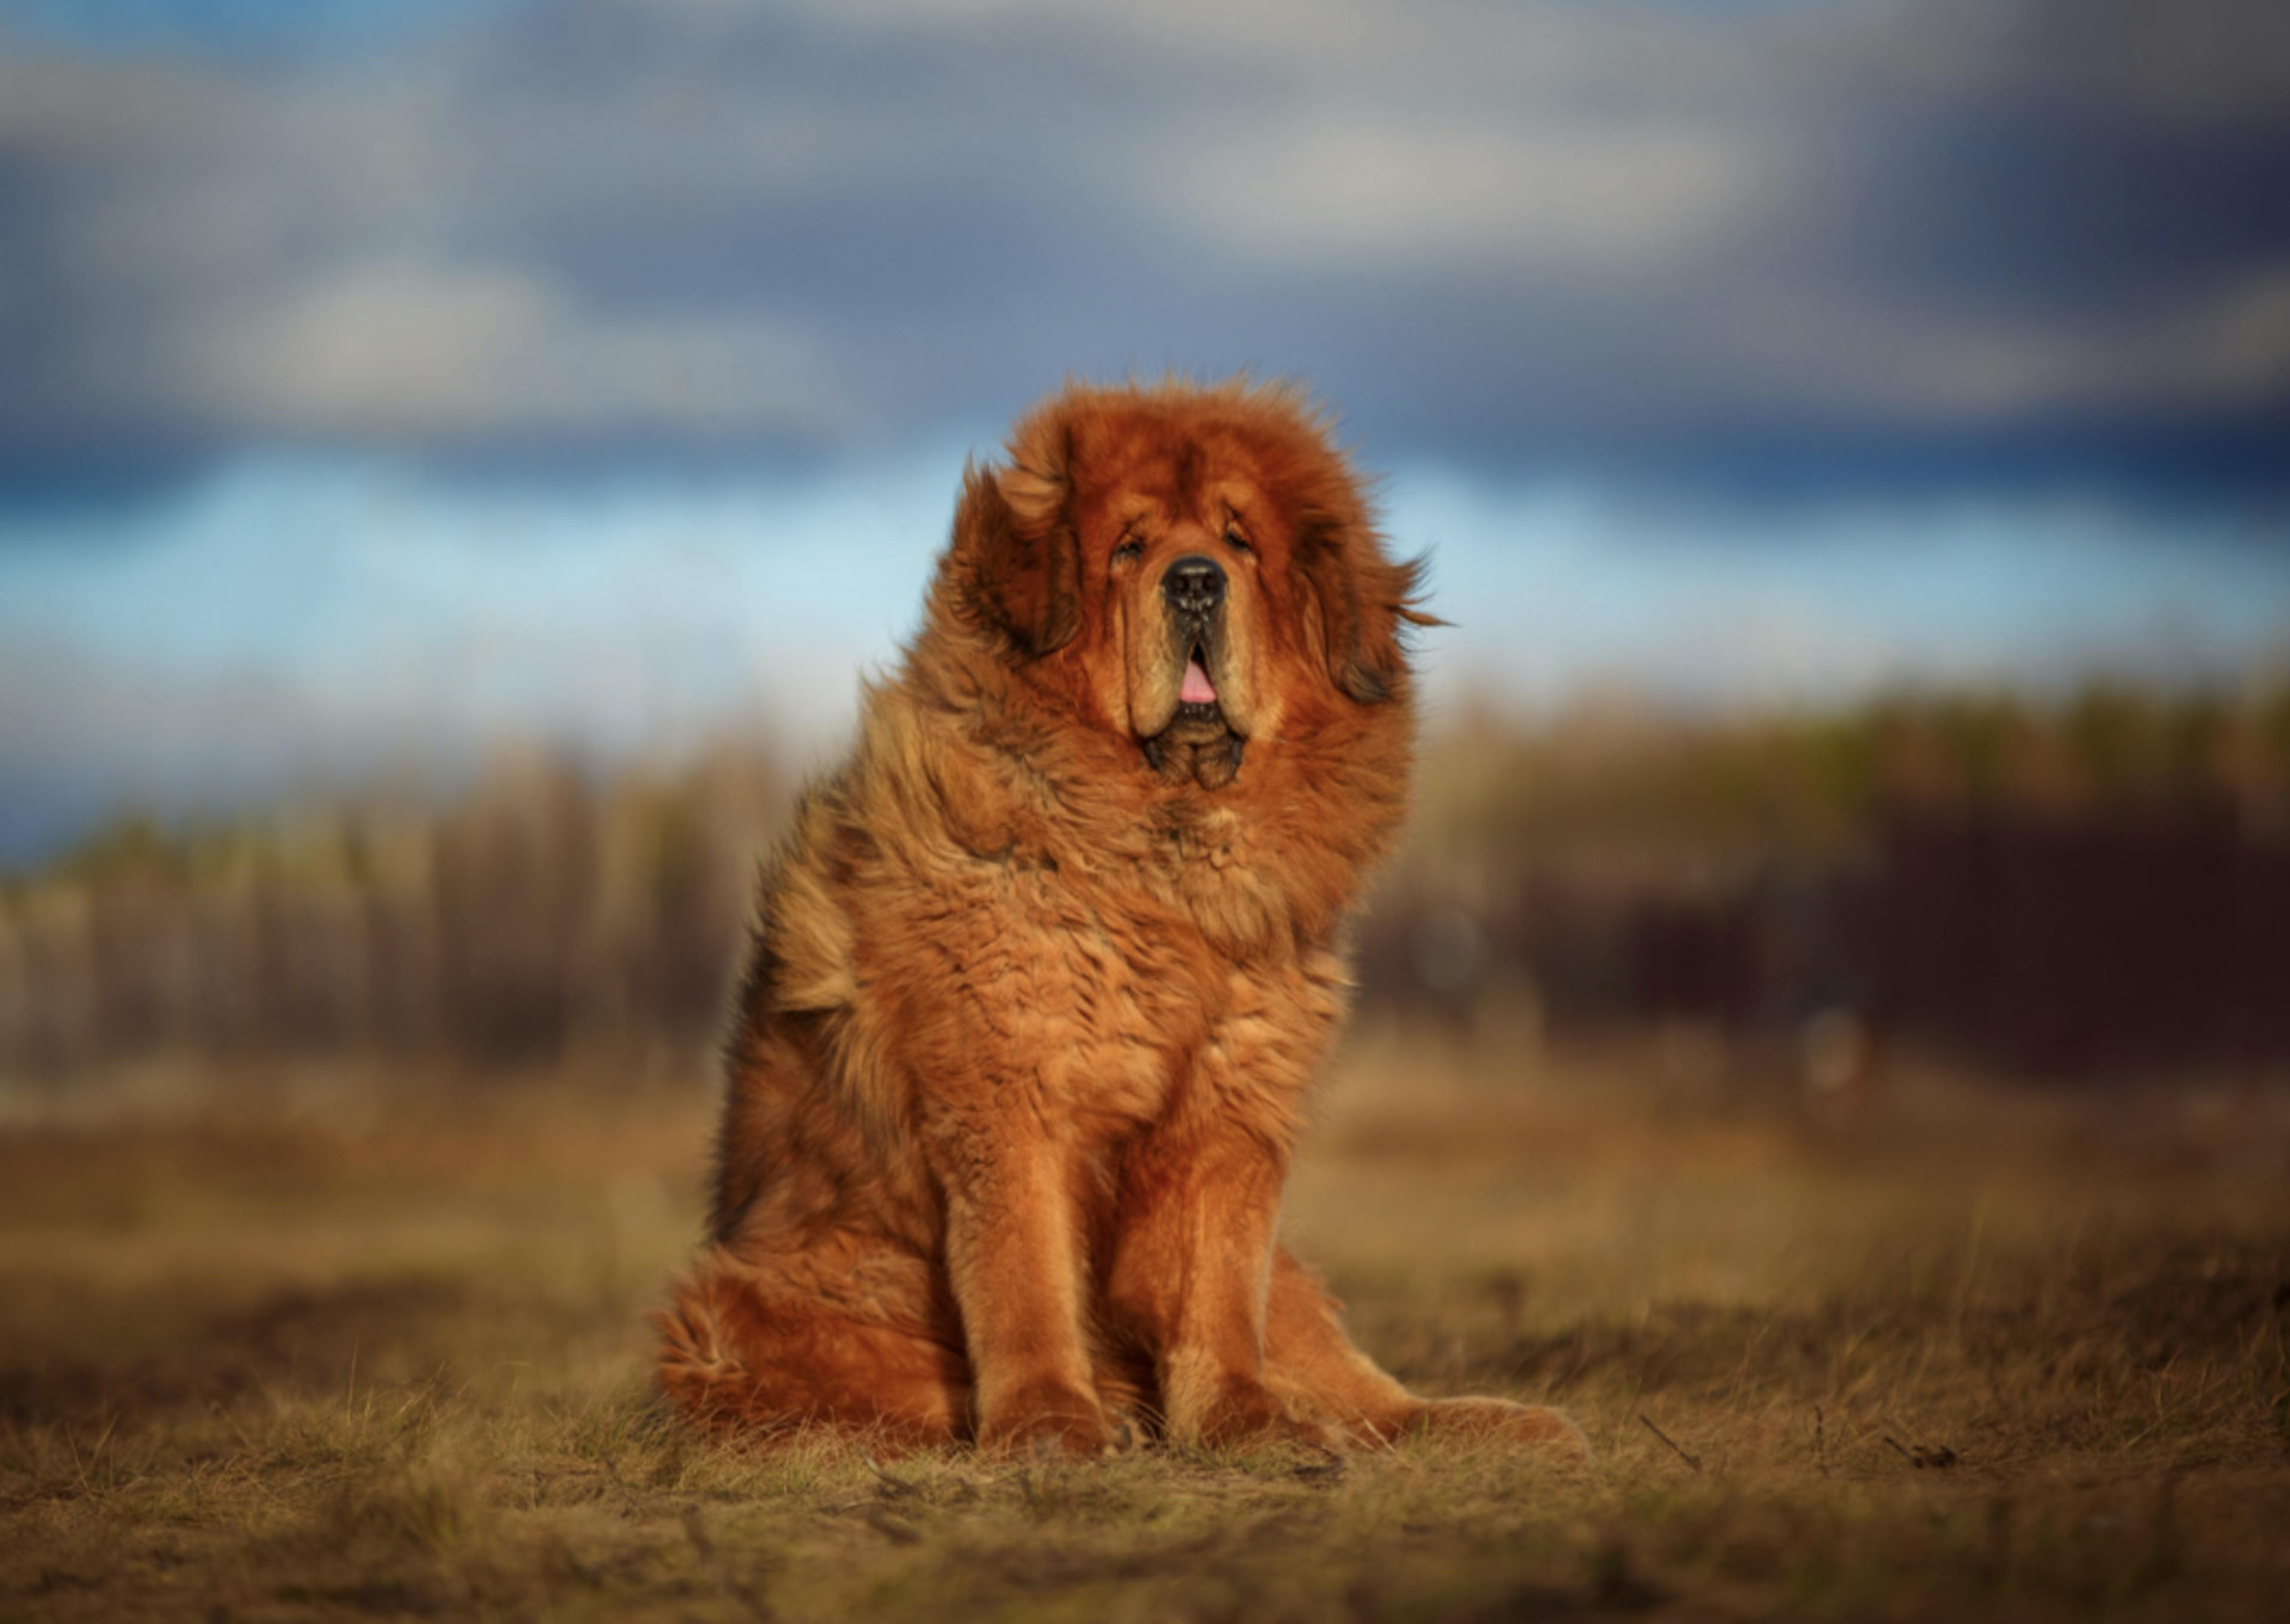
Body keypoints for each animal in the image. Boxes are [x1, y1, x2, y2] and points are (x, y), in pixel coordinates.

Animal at [664, 377, 1585, 1456]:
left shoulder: (1229, 1113)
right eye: (1128, 548)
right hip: (743, 1310)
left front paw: (1240, 1421)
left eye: (1239, 542)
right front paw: (1049, 1423)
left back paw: (1488, 1423)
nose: (1194, 584)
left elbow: (1216, 1289)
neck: (1163, 869)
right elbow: (1026, 1277)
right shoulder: (1013, 1096)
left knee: (1366, 1393)